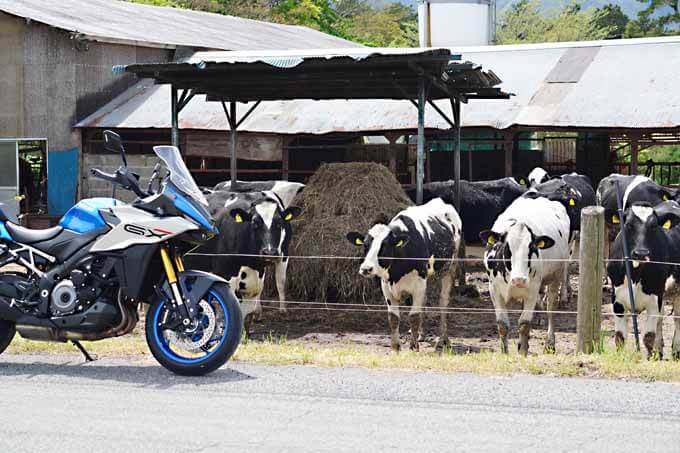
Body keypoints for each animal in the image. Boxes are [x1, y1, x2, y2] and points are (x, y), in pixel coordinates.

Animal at [191, 189, 300, 334]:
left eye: (279, 224)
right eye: (254, 223)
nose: (269, 252)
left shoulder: (277, 260)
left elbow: (279, 283)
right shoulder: (226, 272)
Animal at [346, 197, 462, 350]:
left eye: (384, 246)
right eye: (365, 245)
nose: (366, 269)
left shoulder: (418, 284)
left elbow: (414, 316)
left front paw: (413, 347)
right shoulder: (386, 286)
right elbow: (393, 318)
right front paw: (396, 346)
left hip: (449, 269)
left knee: (443, 302)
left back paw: (443, 339)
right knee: (424, 301)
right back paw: (421, 335)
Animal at [480, 196, 572, 354]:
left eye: (531, 248)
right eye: (507, 247)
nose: (519, 280)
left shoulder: (532, 290)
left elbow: (524, 323)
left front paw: (523, 353)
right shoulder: (494, 290)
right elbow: (502, 324)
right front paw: (505, 353)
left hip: (556, 276)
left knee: (550, 308)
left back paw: (550, 343)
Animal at [604, 200, 680, 356]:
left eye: (654, 226)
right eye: (628, 225)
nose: (641, 253)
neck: (635, 275)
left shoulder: (654, 301)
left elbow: (648, 338)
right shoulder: (617, 301)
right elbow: (620, 337)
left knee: (677, 318)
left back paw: (675, 351)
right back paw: (659, 351)